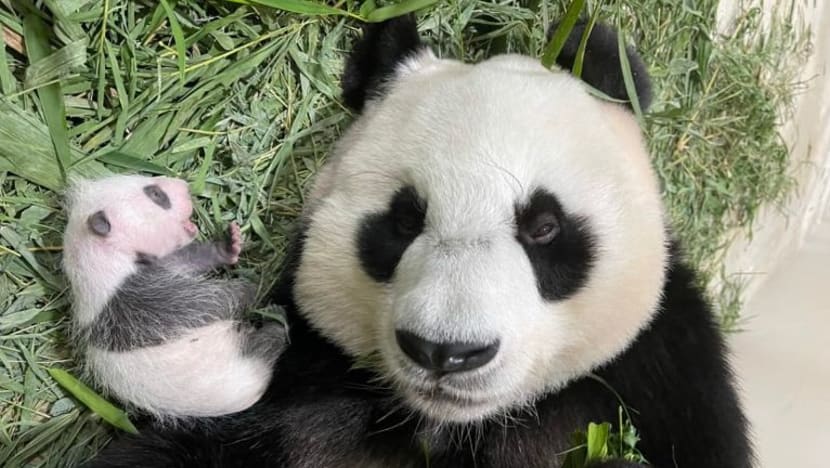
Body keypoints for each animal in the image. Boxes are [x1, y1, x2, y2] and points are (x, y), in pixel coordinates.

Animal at [88, 16, 752, 468]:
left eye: (543, 227)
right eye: (404, 221)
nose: (445, 351)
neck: (447, 425)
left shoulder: (662, 372)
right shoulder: (293, 385)